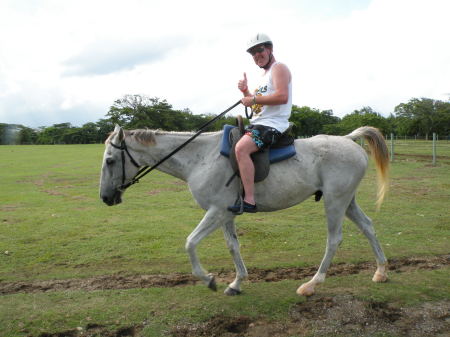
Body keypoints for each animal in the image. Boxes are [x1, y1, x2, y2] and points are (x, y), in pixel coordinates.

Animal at [100, 123, 388, 294]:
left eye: (110, 161)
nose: (105, 197)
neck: (201, 158)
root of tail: (349, 140)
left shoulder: (216, 211)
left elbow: (190, 243)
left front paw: (208, 279)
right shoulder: (226, 214)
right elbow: (232, 246)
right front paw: (237, 282)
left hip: (335, 202)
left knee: (334, 239)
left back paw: (312, 283)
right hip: (346, 201)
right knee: (368, 227)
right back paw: (381, 271)